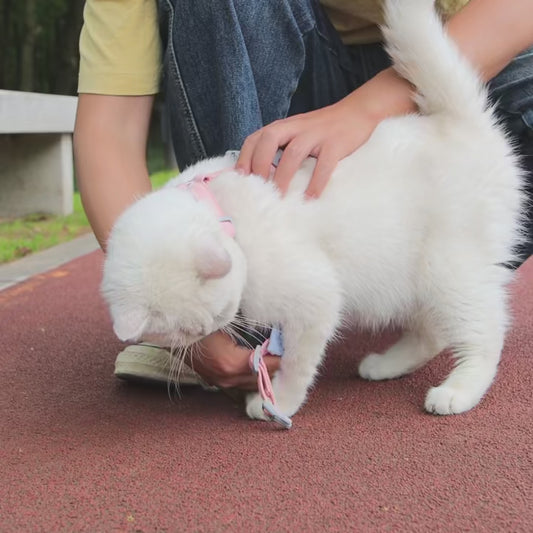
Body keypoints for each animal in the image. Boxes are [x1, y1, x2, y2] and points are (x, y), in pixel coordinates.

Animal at [101, 1, 524, 424]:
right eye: (189, 332)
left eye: (217, 313)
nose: (219, 324)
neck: (223, 209)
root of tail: (456, 123)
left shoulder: (315, 299)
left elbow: (296, 365)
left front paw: (277, 402)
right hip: (412, 275)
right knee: (433, 331)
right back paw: (385, 365)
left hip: (447, 267)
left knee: (486, 329)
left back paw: (459, 390)